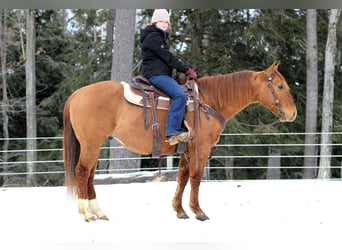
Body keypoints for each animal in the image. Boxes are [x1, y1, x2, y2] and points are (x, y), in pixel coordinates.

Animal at [63, 61, 296, 222]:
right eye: (280, 86)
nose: (292, 114)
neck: (208, 103)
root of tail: (77, 94)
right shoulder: (201, 149)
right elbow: (195, 177)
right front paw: (198, 211)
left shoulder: (186, 150)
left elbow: (182, 178)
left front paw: (180, 210)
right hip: (91, 144)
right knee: (82, 171)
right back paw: (87, 213)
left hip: (94, 145)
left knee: (90, 174)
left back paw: (99, 212)